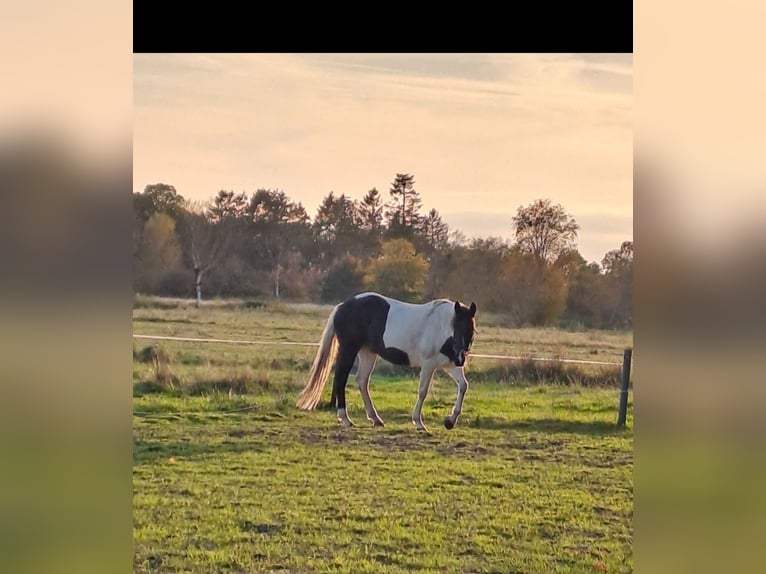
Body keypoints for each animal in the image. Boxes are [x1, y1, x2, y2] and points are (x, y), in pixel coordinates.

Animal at [296, 292, 476, 432]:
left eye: (471, 329)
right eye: (456, 326)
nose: (461, 358)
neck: (440, 328)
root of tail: (342, 306)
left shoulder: (449, 365)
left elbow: (463, 386)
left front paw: (450, 421)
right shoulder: (428, 365)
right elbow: (423, 391)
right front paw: (418, 422)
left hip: (367, 353)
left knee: (362, 381)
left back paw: (375, 419)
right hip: (349, 350)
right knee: (341, 378)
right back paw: (346, 419)